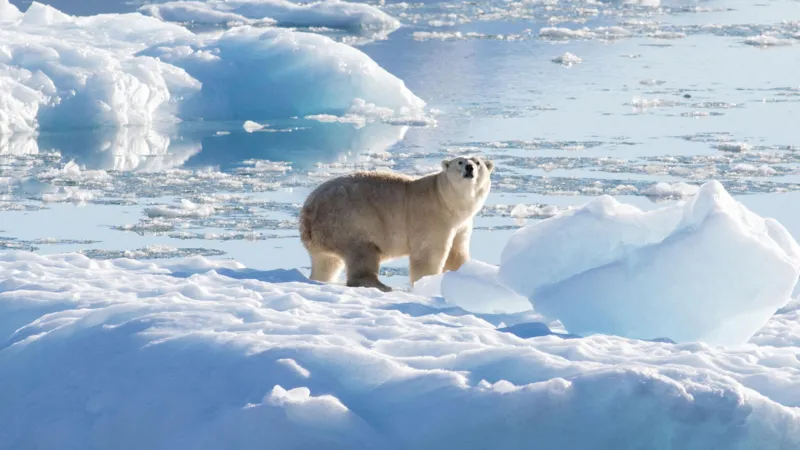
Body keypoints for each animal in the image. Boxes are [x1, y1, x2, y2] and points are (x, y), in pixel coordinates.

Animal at [300, 156, 494, 292]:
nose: (469, 167)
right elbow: (428, 254)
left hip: (325, 235)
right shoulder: (431, 217)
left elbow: (457, 253)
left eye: (478, 162)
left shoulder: (461, 224)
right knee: (363, 252)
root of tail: (307, 212)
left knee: (327, 262)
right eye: (460, 161)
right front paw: (427, 283)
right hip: (350, 220)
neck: (445, 199)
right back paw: (381, 285)